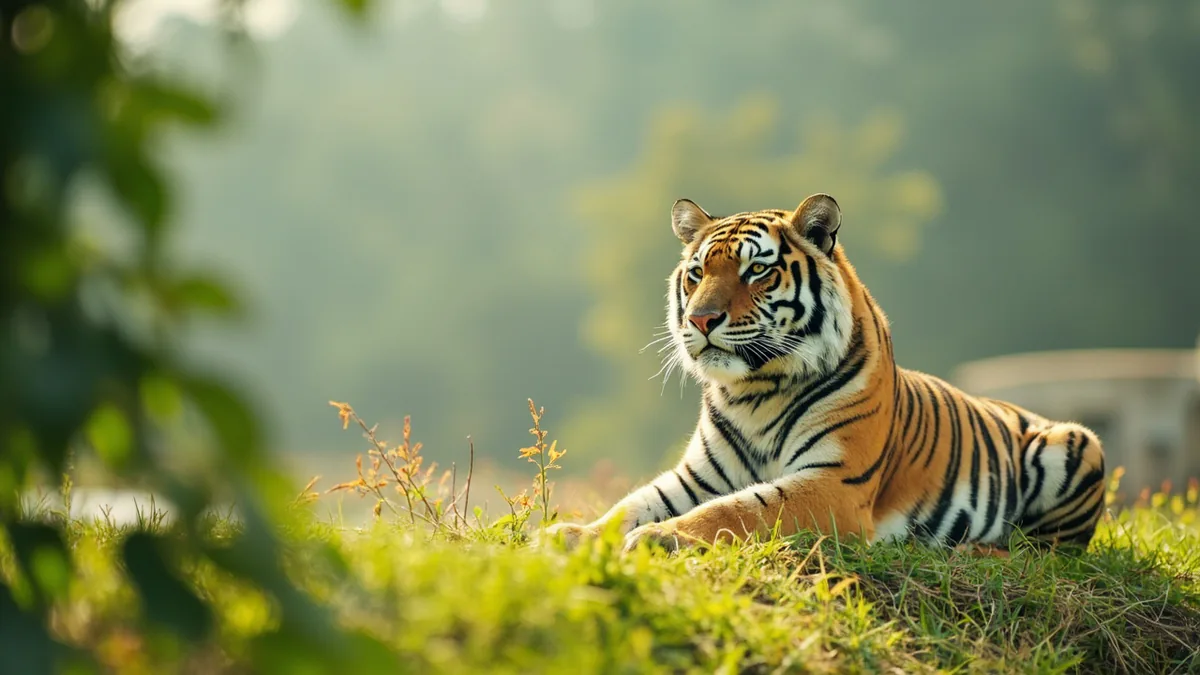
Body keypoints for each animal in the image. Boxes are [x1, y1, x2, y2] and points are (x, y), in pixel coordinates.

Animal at [544, 193, 1107, 553]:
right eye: (697, 273)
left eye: (756, 270)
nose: (701, 320)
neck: (754, 392)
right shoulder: (696, 476)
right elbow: (631, 504)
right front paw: (573, 534)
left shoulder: (836, 480)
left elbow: (739, 510)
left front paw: (665, 537)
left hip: (1076, 443)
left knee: (1043, 551)